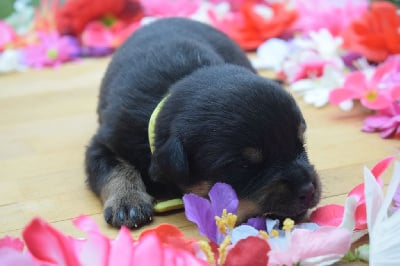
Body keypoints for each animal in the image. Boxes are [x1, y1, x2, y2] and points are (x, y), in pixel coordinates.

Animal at [85, 17, 322, 229]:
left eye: (301, 144)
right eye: (242, 166)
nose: (308, 189)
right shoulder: (106, 141)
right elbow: (116, 168)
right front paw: (127, 202)